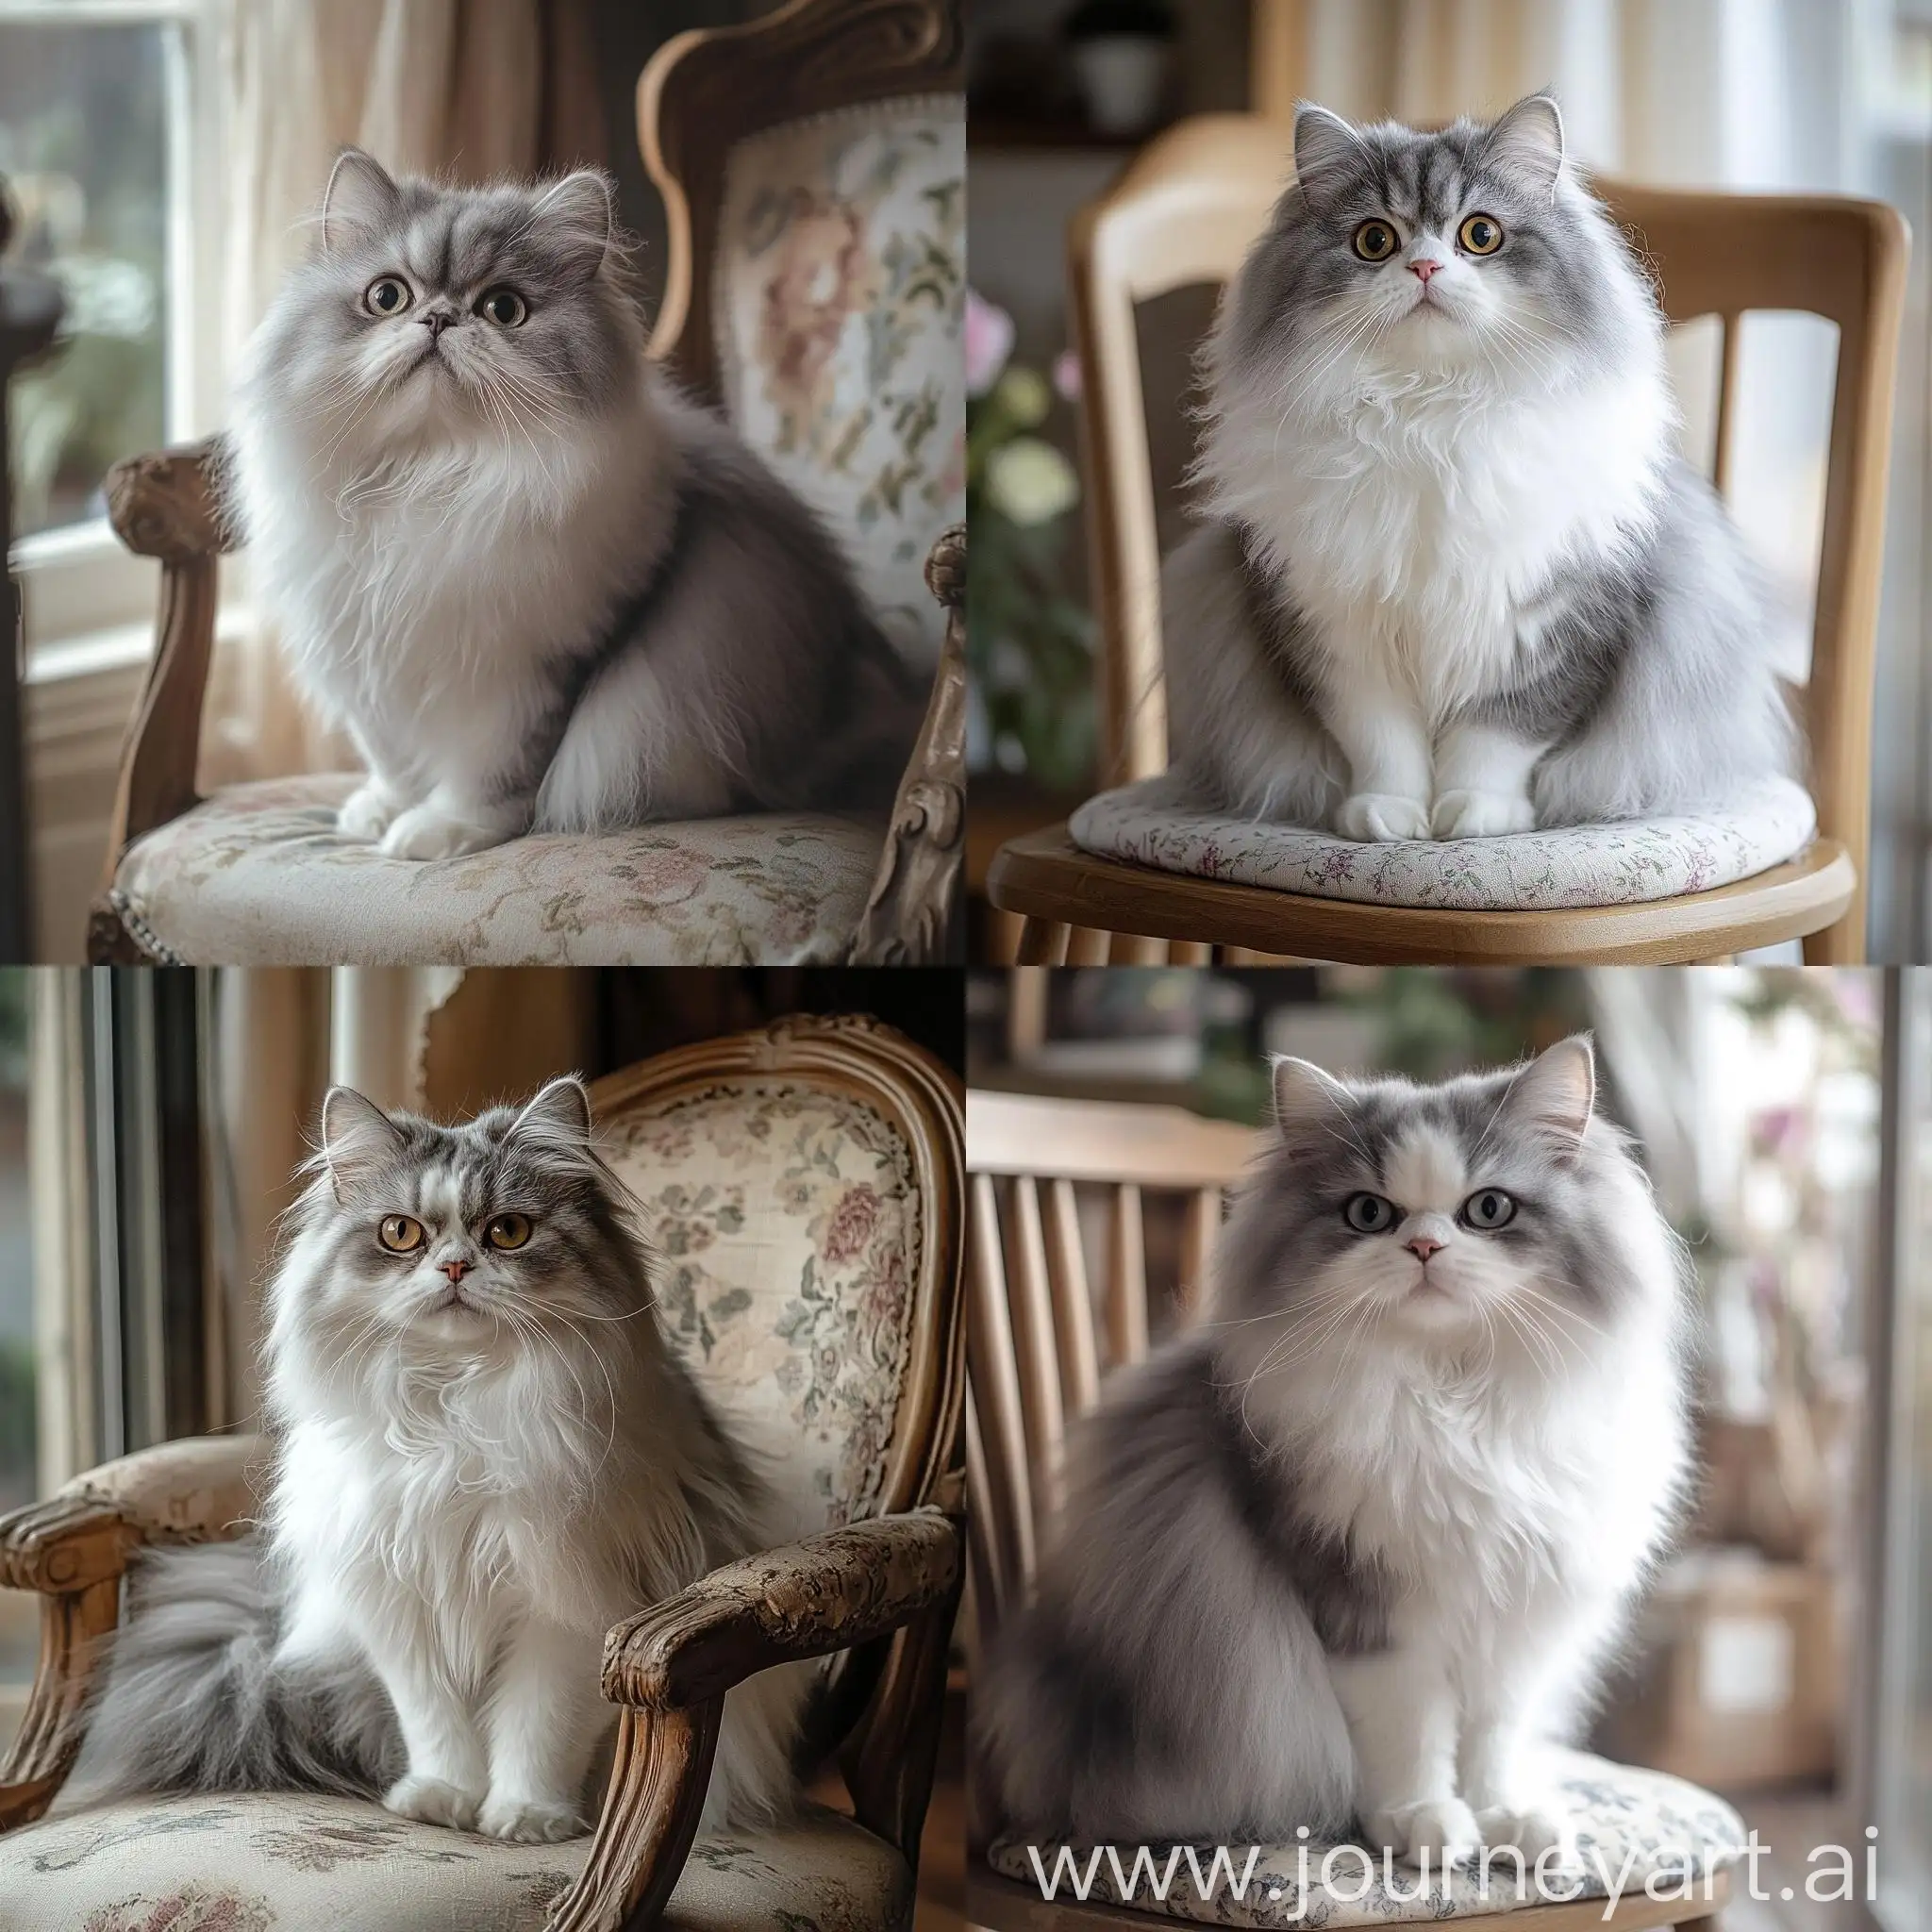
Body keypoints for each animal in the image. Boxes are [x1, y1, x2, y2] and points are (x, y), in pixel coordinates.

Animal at [75, 1081, 808, 1831]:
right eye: (401, 1233)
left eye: (508, 1232)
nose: (454, 1267)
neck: (454, 1413)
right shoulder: (401, 1608)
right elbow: (436, 1726)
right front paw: (442, 1799)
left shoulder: (571, 1605)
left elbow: (537, 1727)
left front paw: (525, 1816)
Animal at [225, 154, 919, 865]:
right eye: (388, 297)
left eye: (504, 309)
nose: (440, 318)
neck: (432, 474)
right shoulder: (368, 659)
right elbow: (389, 758)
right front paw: (379, 812)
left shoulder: (531, 677)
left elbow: (491, 774)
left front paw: (439, 833)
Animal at [981, 1042, 1692, 1870]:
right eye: (1368, 1213)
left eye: (1488, 1209)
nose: (1424, 1246)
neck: (1451, 1402)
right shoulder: (1363, 1604)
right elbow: (1410, 1731)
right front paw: (1423, 1824)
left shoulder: (1515, 1619)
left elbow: (1492, 1737)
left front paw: (1505, 1818)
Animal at [1166, 93, 1800, 838]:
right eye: (1375, 241)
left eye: (1480, 235)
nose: (1425, 269)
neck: (1428, 420)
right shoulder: (1335, 636)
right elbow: (1380, 743)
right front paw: (1388, 817)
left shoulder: (1550, 626)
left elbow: (1497, 738)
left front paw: (1476, 816)